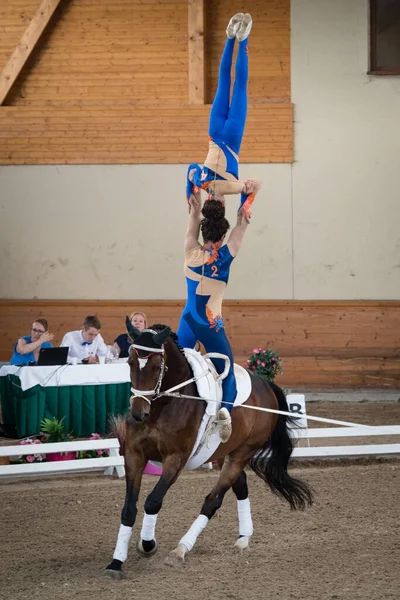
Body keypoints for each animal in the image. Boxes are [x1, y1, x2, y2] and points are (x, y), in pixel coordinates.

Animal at [104, 326, 314, 580]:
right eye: (130, 362)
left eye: (156, 366)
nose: (138, 414)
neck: (162, 406)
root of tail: (265, 385)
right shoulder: (134, 454)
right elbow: (128, 508)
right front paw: (116, 562)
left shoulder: (176, 458)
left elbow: (153, 501)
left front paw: (147, 544)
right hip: (224, 452)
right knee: (240, 485)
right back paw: (244, 538)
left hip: (242, 453)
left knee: (213, 501)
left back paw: (181, 550)